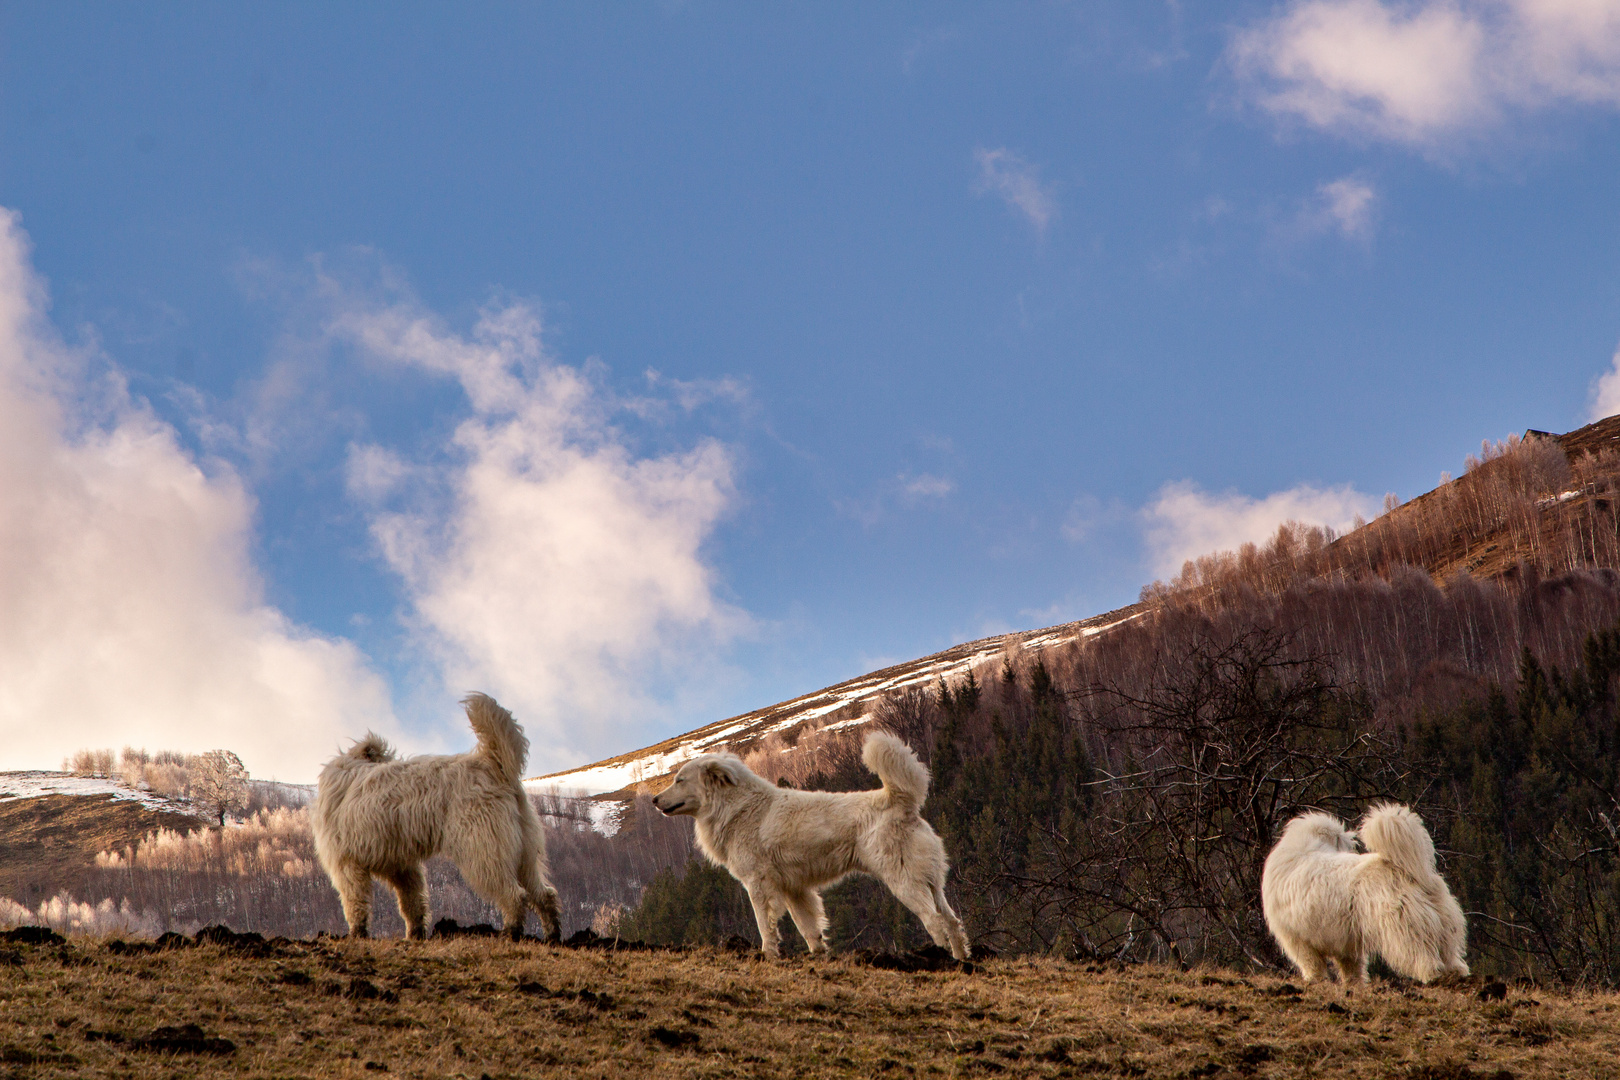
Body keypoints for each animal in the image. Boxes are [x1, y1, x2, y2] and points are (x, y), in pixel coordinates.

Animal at [309, 696, 563, 939]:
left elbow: (355, 903)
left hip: (484, 849)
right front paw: (415, 934)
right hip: (524, 852)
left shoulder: (346, 864)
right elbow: (412, 902)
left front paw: (357, 933)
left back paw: (511, 932)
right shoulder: (401, 866)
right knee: (544, 895)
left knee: (514, 895)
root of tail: (491, 764)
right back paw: (552, 934)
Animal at [648, 735, 972, 965]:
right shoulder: (795, 889)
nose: (653, 799)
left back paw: (938, 957)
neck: (736, 807)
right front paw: (817, 957)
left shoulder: (758, 884)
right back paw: (961, 962)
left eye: (679, 780)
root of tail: (899, 799)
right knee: (953, 922)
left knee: (935, 922)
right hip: (931, 883)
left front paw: (768, 955)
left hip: (903, 881)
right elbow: (809, 928)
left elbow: (765, 925)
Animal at [1257, 803, 1477, 990]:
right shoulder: (1346, 943)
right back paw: (1457, 977)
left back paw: (1433, 978)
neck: (1305, 847)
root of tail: (1411, 872)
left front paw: (1316, 982)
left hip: (1403, 932)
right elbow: (1352, 968)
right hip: (1443, 926)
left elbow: (1313, 965)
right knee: (1451, 958)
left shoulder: (1297, 939)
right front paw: (1354, 986)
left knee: (1424, 958)